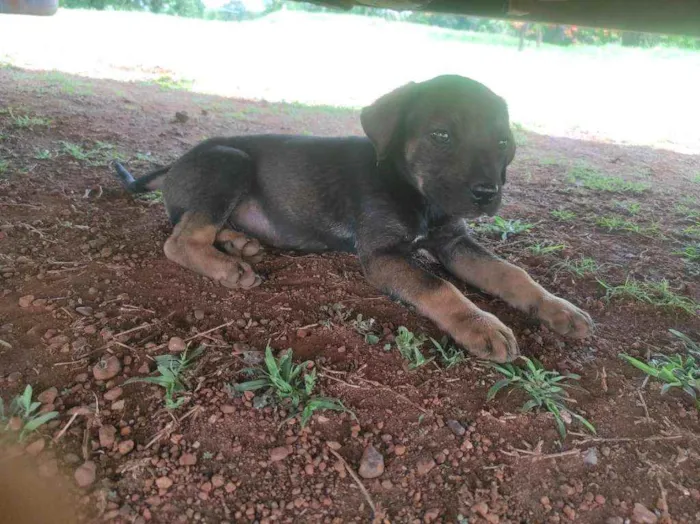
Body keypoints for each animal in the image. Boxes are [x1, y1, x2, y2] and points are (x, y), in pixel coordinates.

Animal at [115, 73, 592, 360]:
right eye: (441, 135)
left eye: (503, 143)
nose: (486, 194)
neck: (416, 193)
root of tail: (174, 165)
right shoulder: (382, 256)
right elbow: (439, 287)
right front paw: (480, 324)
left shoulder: (455, 241)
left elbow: (511, 273)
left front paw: (558, 308)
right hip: (230, 161)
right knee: (179, 238)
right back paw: (228, 267)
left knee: (197, 225)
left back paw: (239, 243)